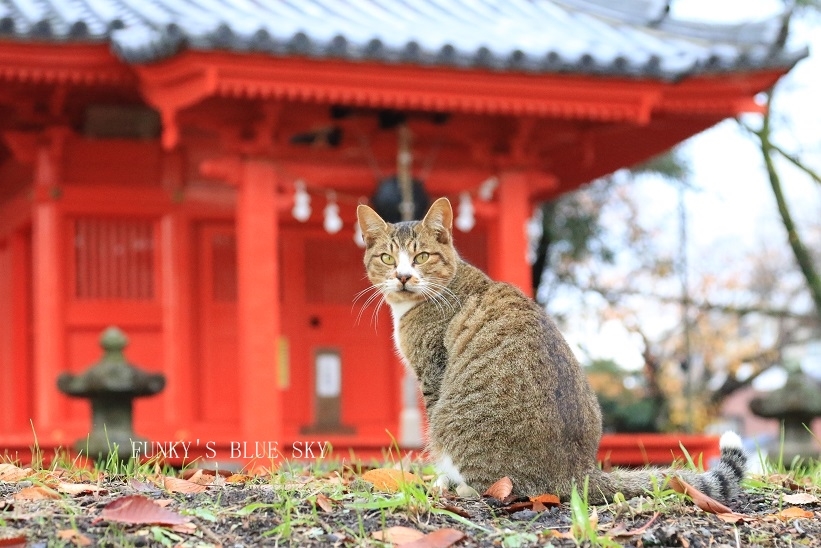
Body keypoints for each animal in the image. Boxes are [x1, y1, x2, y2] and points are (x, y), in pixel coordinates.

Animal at [356, 197, 748, 506]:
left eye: (421, 256)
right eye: (388, 258)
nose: (403, 276)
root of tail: (578, 472)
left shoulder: (433, 373)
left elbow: (436, 449)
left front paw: (440, 481)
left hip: (456, 426)